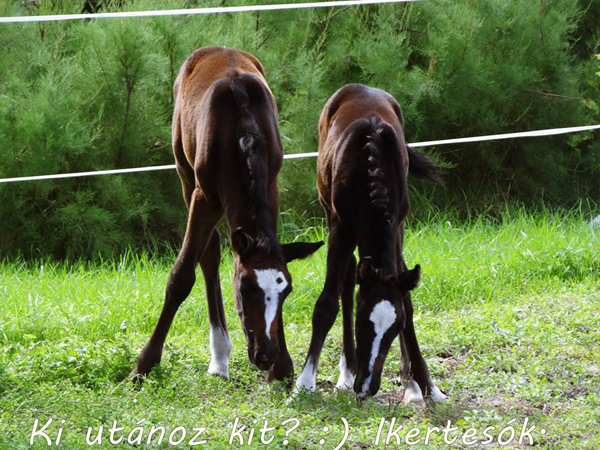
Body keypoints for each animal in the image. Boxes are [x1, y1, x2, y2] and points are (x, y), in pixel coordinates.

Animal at [129, 45, 322, 384]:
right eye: (245, 288)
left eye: (286, 291)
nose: (266, 355)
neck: (242, 131)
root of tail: (216, 48)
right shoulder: (203, 197)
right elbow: (182, 275)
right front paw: (145, 363)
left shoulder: (270, 187)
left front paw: (283, 367)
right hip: (185, 174)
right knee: (209, 255)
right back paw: (219, 355)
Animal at [296, 84, 446, 400]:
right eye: (362, 323)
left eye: (394, 328)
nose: (367, 387)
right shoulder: (339, 227)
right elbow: (327, 304)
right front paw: (304, 383)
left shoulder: (398, 226)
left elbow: (407, 301)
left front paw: (423, 384)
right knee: (348, 275)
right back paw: (346, 372)